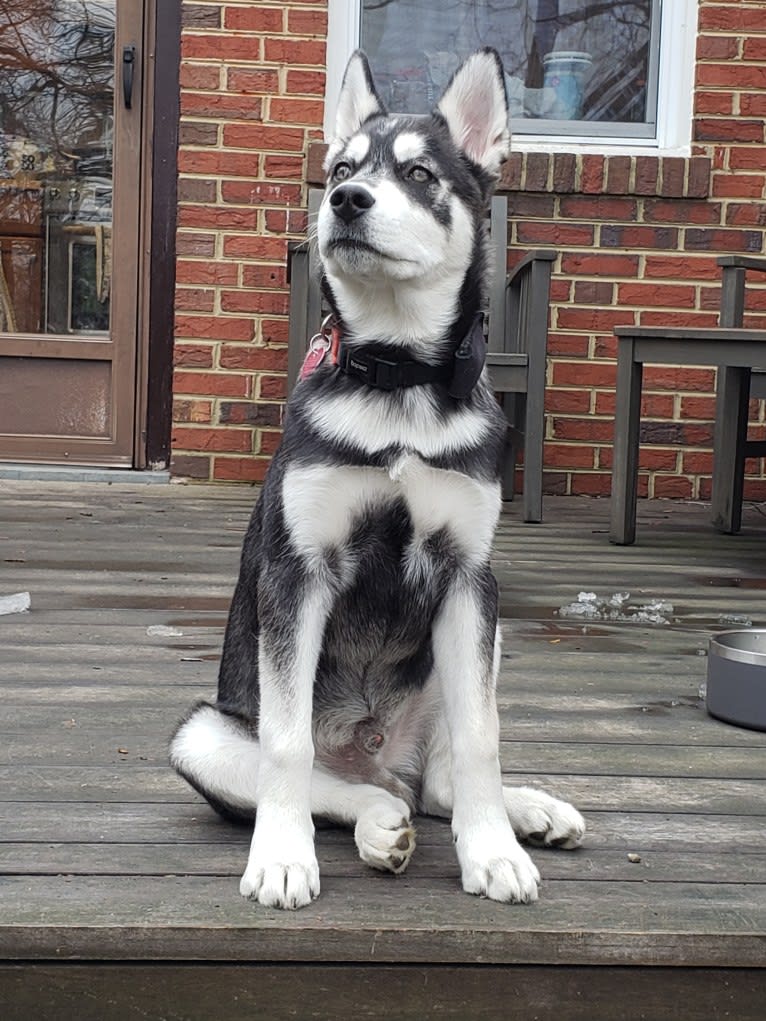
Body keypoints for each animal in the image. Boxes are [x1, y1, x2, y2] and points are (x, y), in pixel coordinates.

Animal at [169, 47, 588, 910]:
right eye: (341, 168)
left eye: (421, 174)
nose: (345, 201)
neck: (397, 381)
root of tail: (375, 750)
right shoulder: (296, 575)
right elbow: (288, 746)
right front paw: (281, 858)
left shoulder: (469, 580)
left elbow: (482, 737)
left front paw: (494, 851)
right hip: (201, 733)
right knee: (347, 787)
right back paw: (374, 821)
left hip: (476, 644)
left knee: (437, 783)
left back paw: (528, 810)